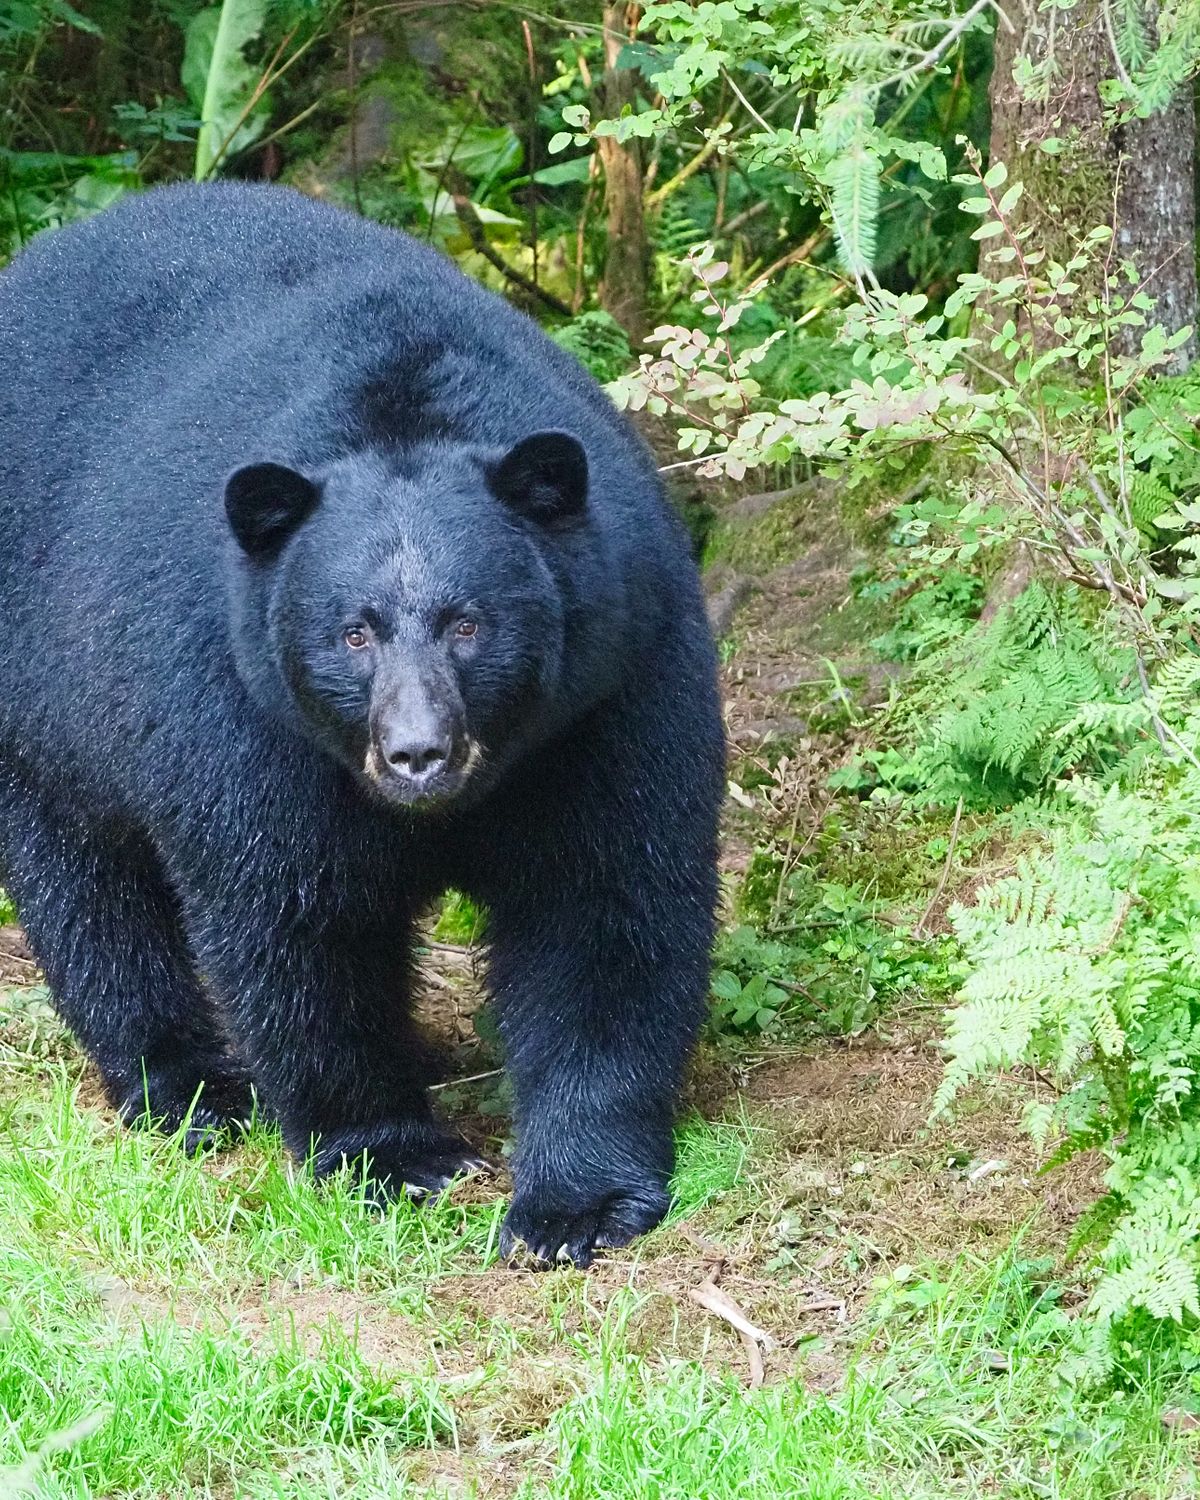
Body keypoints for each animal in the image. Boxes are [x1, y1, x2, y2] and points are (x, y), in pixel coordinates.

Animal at [0, 182, 724, 1266]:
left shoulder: (614, 688)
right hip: (43, 691)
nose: (417, 754)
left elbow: (605, 902)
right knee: (85, 885)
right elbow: (300, 922)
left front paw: (576, 1202)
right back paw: (187, 1088)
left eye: (469, 623)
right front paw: (392, 1155)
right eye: (353, 632)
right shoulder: (242, 712)